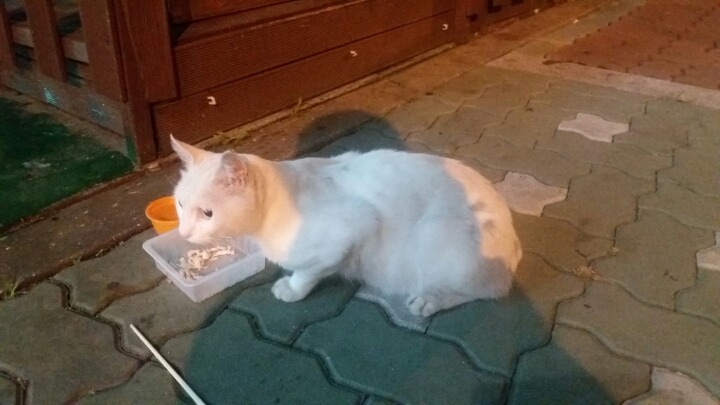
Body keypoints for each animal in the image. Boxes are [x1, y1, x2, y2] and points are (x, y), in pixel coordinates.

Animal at [171, 136, 522, 317]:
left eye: (208, 213)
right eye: (180, 204)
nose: (184, 233)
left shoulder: (352, 228)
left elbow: (307, 272)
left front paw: (291, 289)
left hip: (434, 236)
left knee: (489, 290)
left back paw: (428, 300)